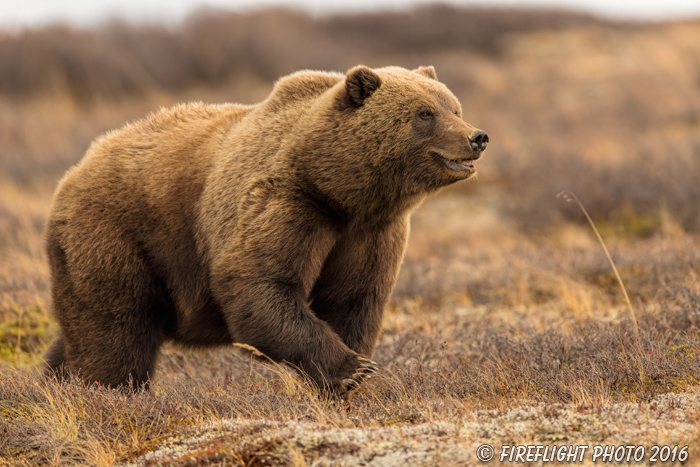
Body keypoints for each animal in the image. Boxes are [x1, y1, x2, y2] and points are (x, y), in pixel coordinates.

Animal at [43, 65, 490, 394]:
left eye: (454, 107)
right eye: (424, 113)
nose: (477, 136)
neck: (342, 191)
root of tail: (75, 169)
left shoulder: (372, 232)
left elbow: (354, 298)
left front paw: (351, 372)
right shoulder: (287, 203)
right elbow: (259, 283)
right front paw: (351, 369)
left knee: (82, 333)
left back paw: (55, 380)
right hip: (117, 236)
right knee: (116, 329)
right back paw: (109, 391)